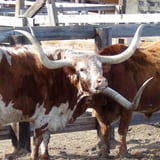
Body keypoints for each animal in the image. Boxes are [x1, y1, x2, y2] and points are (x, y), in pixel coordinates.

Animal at [0, 24, 146, 159]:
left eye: (100, 68)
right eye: (81, 69)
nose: (102, 81)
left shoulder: (49, 118)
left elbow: (45, 144)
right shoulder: (42, 119)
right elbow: (36, 144)